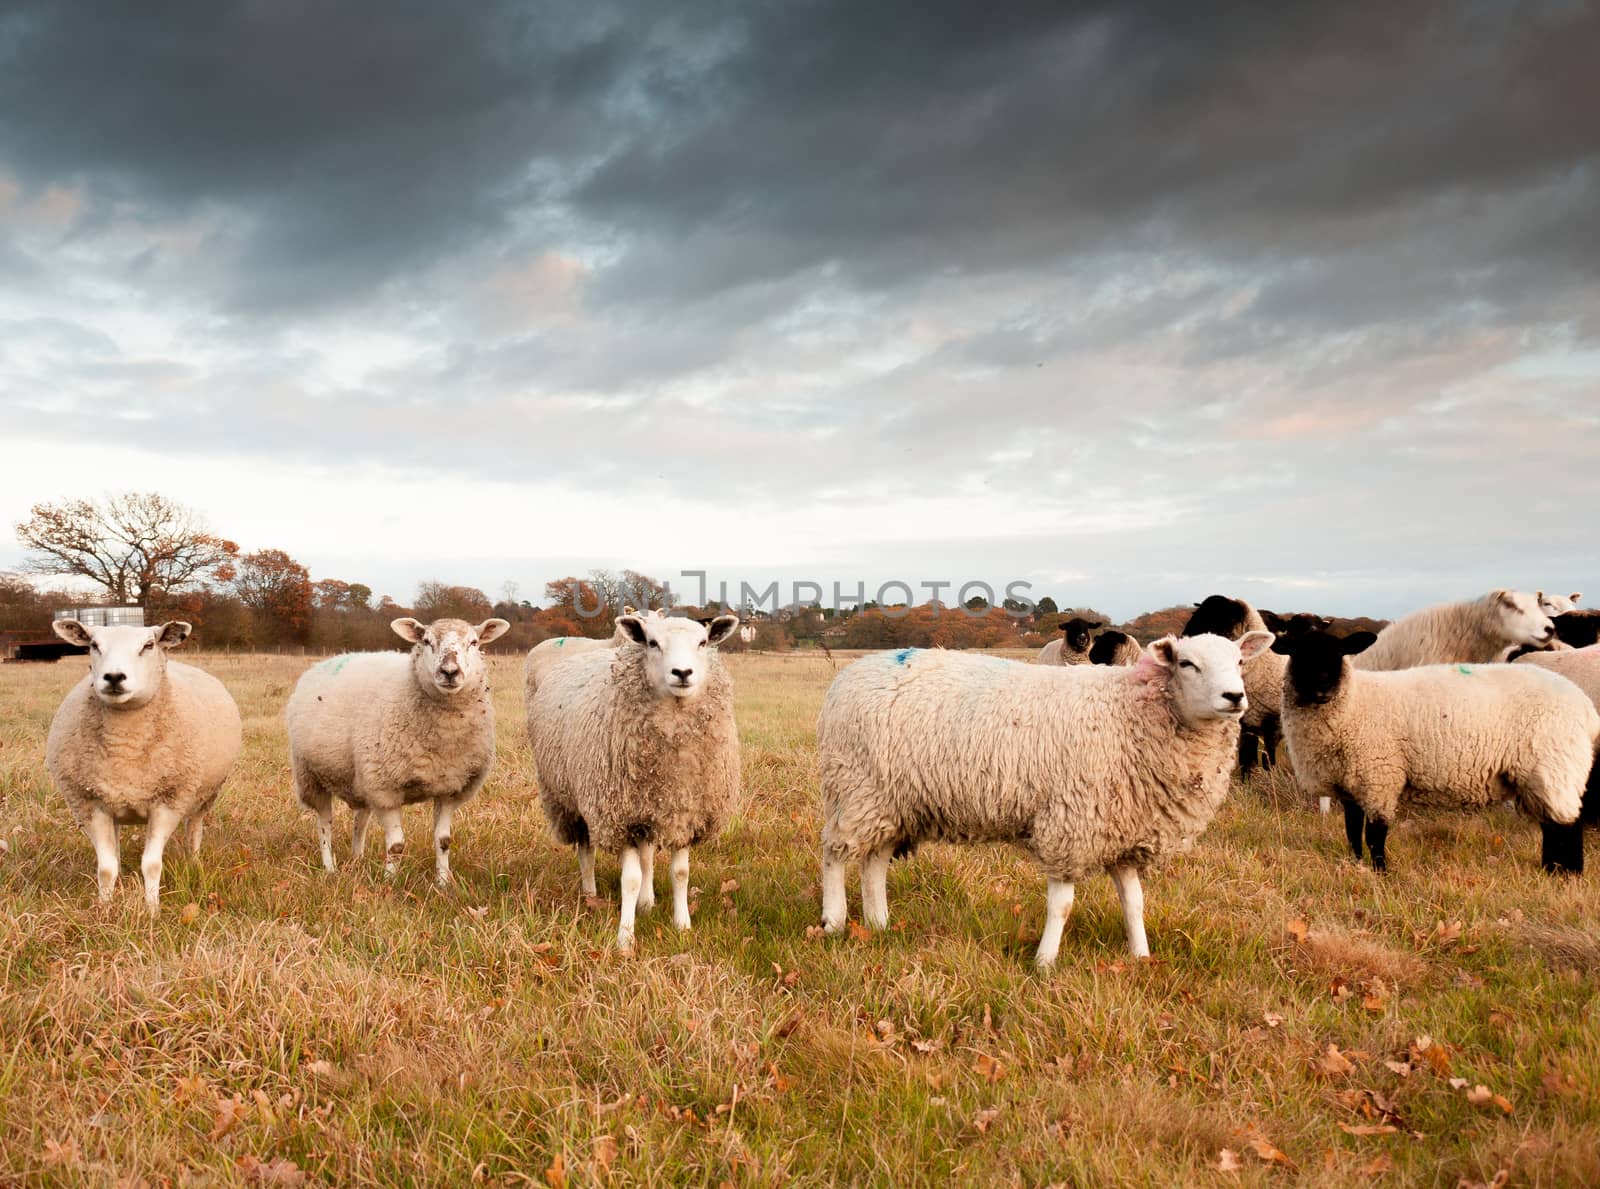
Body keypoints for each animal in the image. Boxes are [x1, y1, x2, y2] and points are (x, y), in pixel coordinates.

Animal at [45, 617, 243, 915]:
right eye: (94, 645)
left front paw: (152, 910)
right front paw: (105, 908)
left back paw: (193, 862)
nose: (114, 677)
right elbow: (106, 867)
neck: (124, 746)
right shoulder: (88, 803)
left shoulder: (168, 802)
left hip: (204, 796)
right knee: (114, 849)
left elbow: (151, 864)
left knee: (194, 829)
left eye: (148, 645)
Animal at [288, 617, 508, 889]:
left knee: (360, 819)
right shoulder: (385, 789)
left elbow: (443, 841)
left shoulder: (449, 788)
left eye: (474, 642)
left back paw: (357, 858)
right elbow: (396, 845)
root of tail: (322, 663)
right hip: (311, 777)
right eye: (426, 641)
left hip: (360, 778)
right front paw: (390, 882)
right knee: (324, 825)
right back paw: (330, 868)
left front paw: (443, 883)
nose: (449, 672)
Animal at [531, 614, 742, 947]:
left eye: (703, 642)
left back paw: (647, 901)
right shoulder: (620, 817)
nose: (683, 673)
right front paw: (625, 937)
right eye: (652, 643)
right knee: (586, 850)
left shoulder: (685, 812)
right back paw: (590, 894)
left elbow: (679, 873)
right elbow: (629, 879)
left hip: (649, 804)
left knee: (647, 855)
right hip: (571, 800)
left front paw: (682, 925)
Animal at [819, 633, 1267, 966]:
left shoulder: (1122, 829)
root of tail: (850, 673)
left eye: (1239, 662)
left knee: (874, 860)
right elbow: (1062, 905)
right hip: (856, 787)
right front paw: (1045, 962)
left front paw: (1140, 956)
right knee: (835, 853)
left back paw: (878, 923)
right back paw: (834, 922)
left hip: (890, 800)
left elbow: (1135, 902)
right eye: (1187, 664)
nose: (1234, 697)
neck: (1129, 711)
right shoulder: (1072, 824)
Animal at [1273, 633, 1600, 876]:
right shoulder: (1350, 784)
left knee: (1568, 826)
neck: (1355, 703)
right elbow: (1352, 830)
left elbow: (1375, 834)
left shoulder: (1380, 775)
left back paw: (1567, 874)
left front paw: (1381, 872)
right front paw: (1357, 865)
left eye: (1338, 653)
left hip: (1555, 765)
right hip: (1541, 774)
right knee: (1552, 826)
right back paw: (1551, 870)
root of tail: (1586, 708)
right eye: (1298, 654)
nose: (1323, 690)